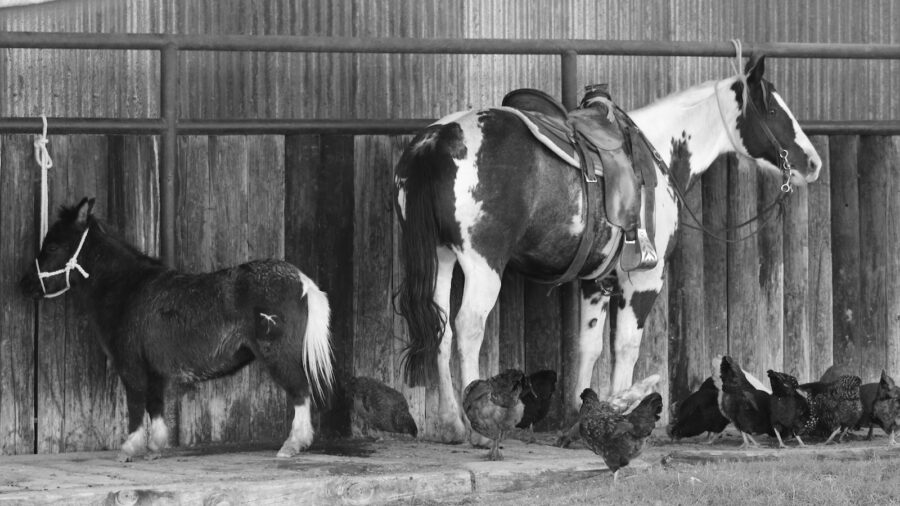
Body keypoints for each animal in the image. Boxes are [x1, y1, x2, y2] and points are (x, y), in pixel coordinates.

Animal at [19, 198, 334, 461]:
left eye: (53, 246)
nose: (25, 285)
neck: (127, 288)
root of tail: (301, 281)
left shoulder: (130, 365)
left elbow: (136, 404)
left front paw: (129, 449)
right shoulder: (154, 369)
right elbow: (156, 406)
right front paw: (155, 448)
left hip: (278, 354)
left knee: (300, 392)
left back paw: (292, 445)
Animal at [394, 53, 822, 445]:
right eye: (772, 108)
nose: (813, 163)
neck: (659, 152)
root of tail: (436, 141)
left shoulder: (595, 282)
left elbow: (589, 347)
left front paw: (578, 420)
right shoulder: (645, 279)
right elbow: (625, 347)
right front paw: (621, 412)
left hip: (441, 258)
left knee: (441, 329)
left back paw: (450, 423)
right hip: (483, 265)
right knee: (468, 329)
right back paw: (477, 427)